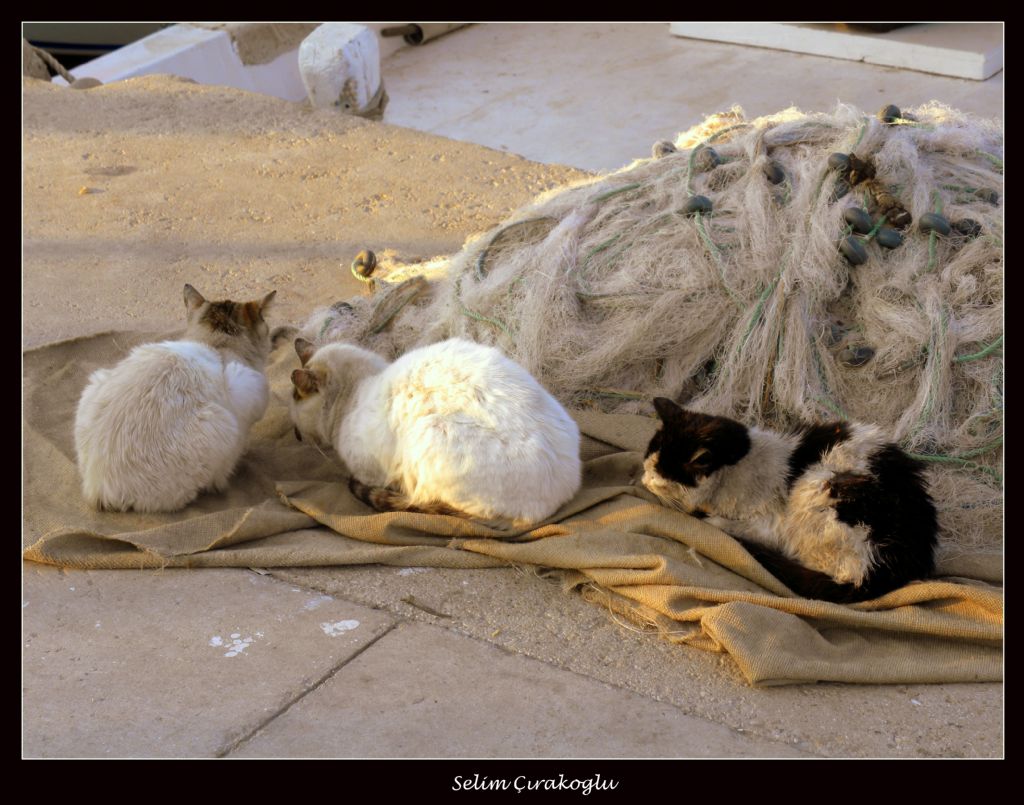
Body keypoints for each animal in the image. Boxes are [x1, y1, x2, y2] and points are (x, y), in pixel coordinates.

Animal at [288, 333, 585, 528]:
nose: (295, 435)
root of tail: (560, 494)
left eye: (294, 403)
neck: (359, 387)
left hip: (430, 434)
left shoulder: (369, 469)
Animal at [643, 397, 937, 598]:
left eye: (659, 477)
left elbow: (716, 523)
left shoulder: (769, 525)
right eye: (647, 464)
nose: (644, 481)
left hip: (818, 488)